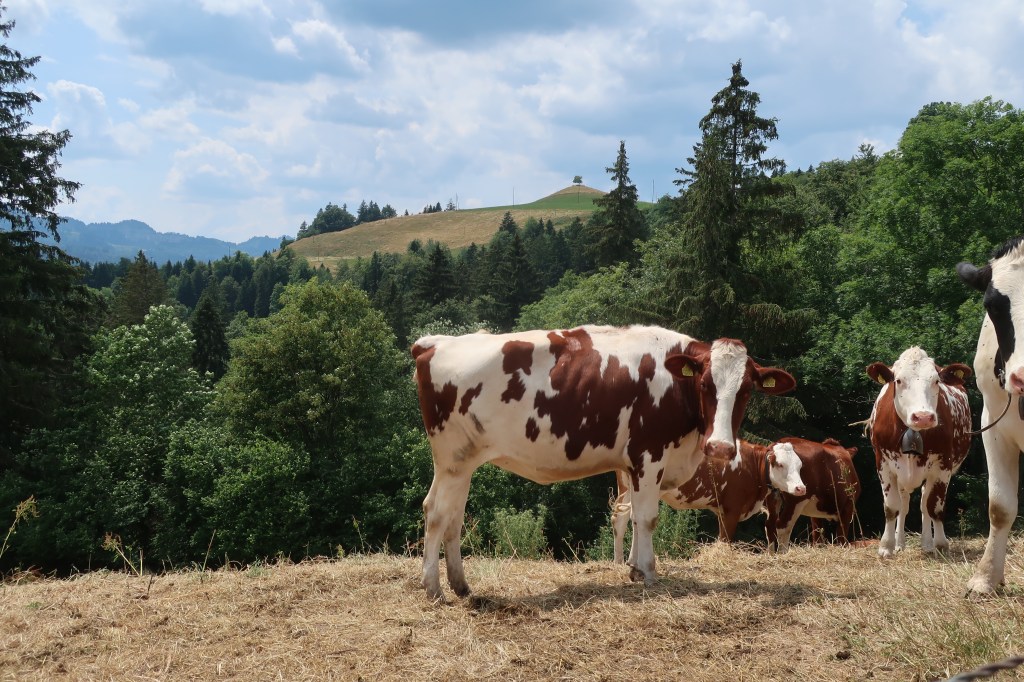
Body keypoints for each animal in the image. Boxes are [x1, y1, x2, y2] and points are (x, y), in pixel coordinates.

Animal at [609, 439, 807, 564]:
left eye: (799, 466)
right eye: (780, 464)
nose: (801, 488)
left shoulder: (721, 510)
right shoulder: (731, 509)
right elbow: (725, 539)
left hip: (628, 490)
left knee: (622, 520)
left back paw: (621, 562)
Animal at [865, 347, 972, 559]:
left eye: (936, 381)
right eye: (898, 380)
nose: (923, 417)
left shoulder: (943, 466)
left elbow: (934, 508)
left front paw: (940, 545)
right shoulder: (883, 464)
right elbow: (892, 507)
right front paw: (886, 546)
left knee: (924, 505)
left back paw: (927, 543)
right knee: (904, 504)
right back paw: (899, 543)